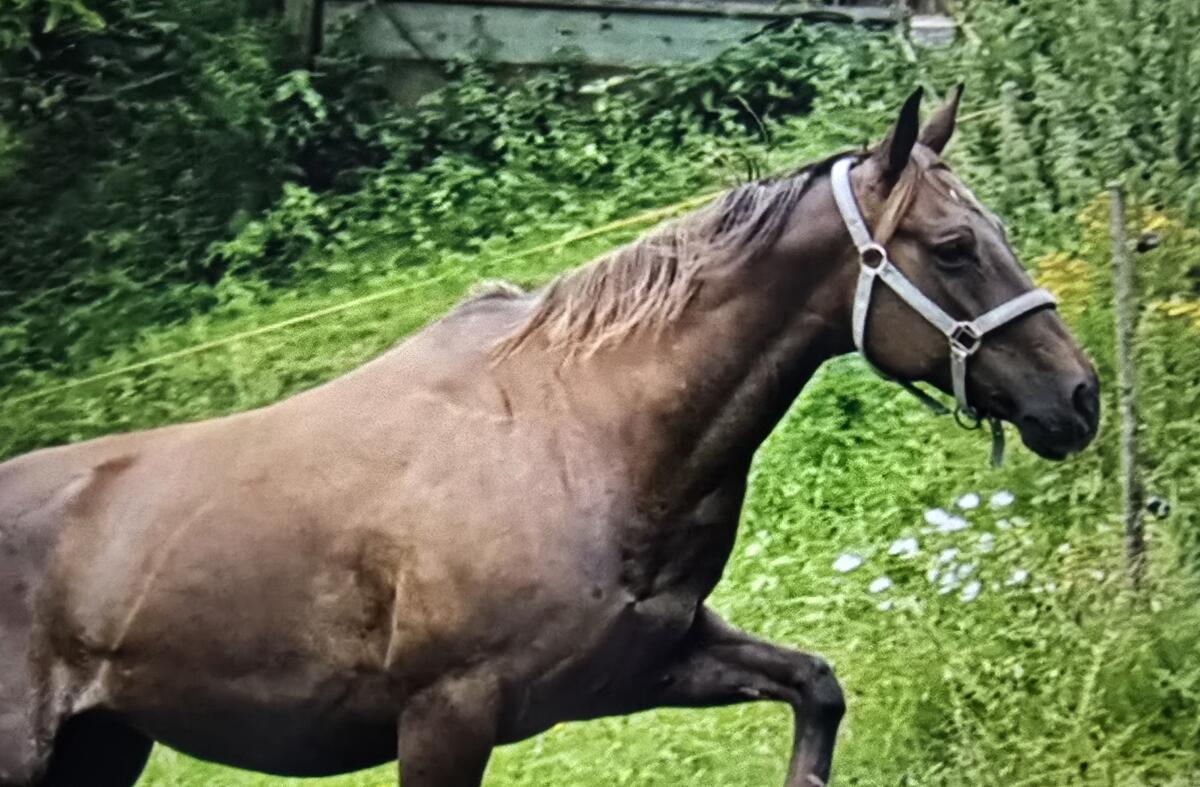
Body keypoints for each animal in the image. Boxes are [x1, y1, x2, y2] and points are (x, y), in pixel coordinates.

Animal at [0, 86, 1099, 787]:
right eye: (952, 247)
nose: (1079, 396)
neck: (581, 435)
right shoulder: (446, 719)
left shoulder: (645, 666)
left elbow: (817, 690)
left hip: (102, 752)